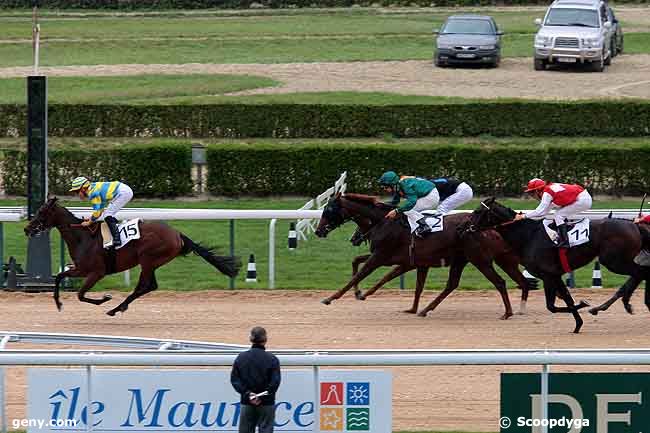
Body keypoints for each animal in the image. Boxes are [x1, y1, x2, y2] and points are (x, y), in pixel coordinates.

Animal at [22, 197, 242, 316]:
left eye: (41, 211)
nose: (27, 229)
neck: (82, 237)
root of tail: (177, 234)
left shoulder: (96, 272)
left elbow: (81, 295)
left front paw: (105, 299)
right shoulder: (80, 269)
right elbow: (60, 277)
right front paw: (58, 304)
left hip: (148, 260)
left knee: (145, 286)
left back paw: (115, 308)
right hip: (152, 263)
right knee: (149, 286)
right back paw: (119, 307)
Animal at [314, 194, 532, 318]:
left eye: (329, 209)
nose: (318, 231)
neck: (383, 222)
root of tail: (492, 228)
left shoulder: (383, 256)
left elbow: (362, 274)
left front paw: (332, 297)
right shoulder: (402, 259)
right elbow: (358, 263)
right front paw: (361, 293)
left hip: (479, 259)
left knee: (500, 282)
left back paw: (508, 312)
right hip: (464, 259)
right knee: (452, 284)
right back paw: (425, 310)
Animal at [466, 197, 648, 332]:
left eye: (478, 211)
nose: (467, 228)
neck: (529, 236)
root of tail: (635, 224)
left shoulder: (548, 275)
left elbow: (552, 306)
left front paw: (583, 305)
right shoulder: (555, 275)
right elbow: (566, 298)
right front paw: (578, 324)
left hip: (614, 261)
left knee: (640, 272)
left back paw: (621, 303)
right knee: (639, 273)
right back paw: (617, 304)